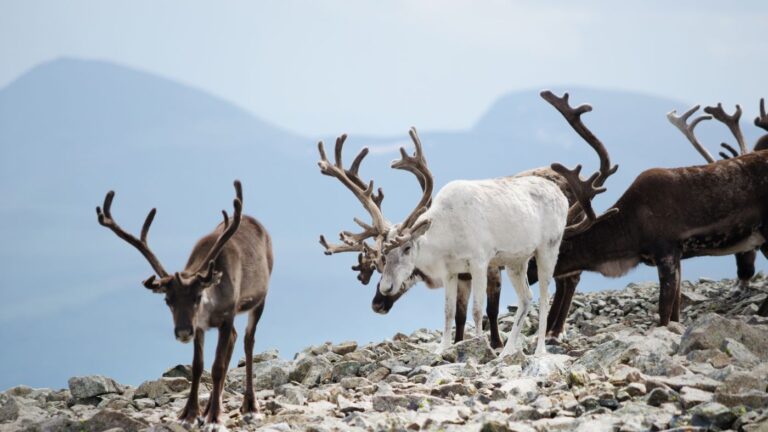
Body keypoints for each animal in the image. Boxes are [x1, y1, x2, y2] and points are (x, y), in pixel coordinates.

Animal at [95, 180, 273, 424]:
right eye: (167, 300)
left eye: (197, 297)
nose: (182, 332)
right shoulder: (199, 326)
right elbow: (198, 367)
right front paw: (190, 414)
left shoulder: (227, 316)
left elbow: (217, 366)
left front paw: (214, 418)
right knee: (235, 339)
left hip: (259, 300)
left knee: (248, 341)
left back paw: (249, 406)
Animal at [318, 91, 617, 346]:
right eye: (379, 260)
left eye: (407, 250)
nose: (378, 303)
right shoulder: (459, 275)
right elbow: (456, 314)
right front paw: (456, 345)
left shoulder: (487, 264)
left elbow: (485, 310)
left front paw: (491, 343)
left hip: (558, 242)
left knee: (567, 280)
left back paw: (554, 331)